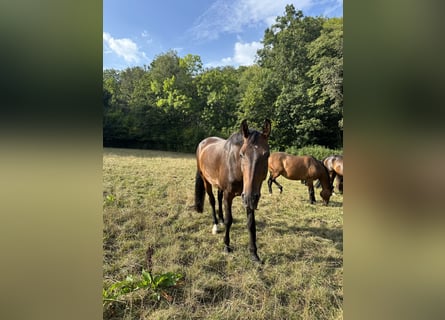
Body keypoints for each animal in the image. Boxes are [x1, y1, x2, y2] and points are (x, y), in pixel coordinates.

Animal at [193, 119, 270, 262]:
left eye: (267, 155)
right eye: (241, 154)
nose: (250, 198)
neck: (236, 167)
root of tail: (203, 142)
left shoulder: (249, 196)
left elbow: (251, 224)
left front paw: (254, 254)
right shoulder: (229, 195)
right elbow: (230, 220)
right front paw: (227, 247)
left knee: (218, 198)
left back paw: (221, 220)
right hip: (206, 181)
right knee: (212, 201)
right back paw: (216, 226)